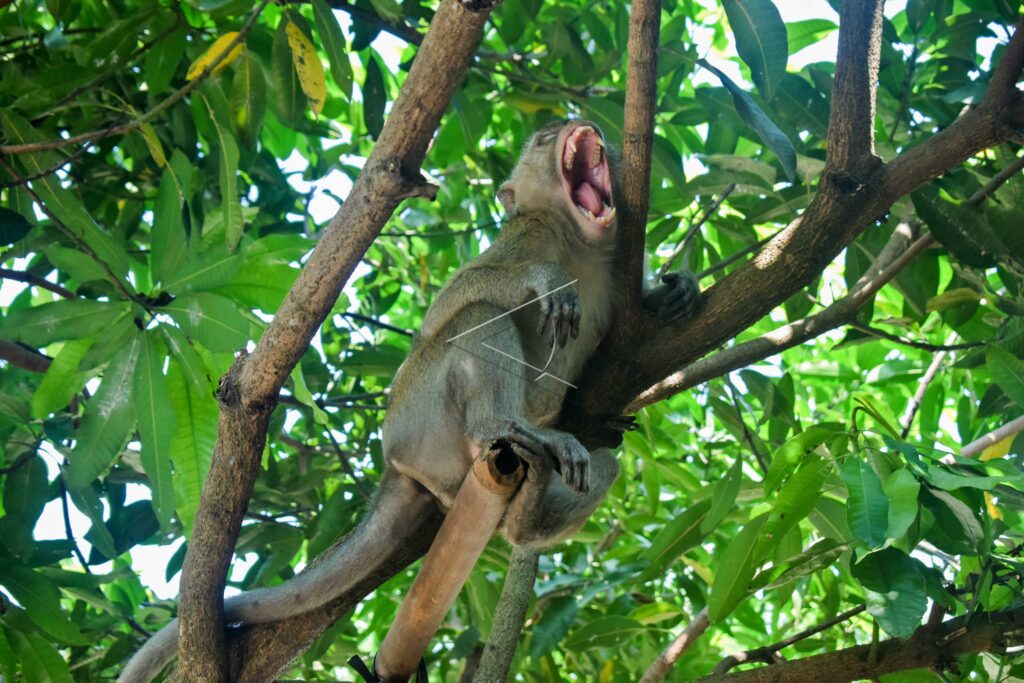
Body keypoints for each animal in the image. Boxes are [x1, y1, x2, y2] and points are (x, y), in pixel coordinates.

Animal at [119, 120, 700, 682]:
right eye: (542, 139)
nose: (583, 125)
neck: (582, 247)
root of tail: (395, 463)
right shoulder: (528, 233)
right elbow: (450, 306)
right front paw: (546, 281)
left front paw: (677, 293)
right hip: (420, 415)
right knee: (479, 316)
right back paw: (505, 426)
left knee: (601, 466)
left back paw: (528, 512)